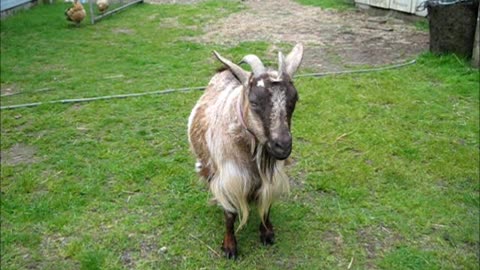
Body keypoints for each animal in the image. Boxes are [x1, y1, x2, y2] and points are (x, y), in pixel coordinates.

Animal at [188, 43, 304, 260]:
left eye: (294, 99)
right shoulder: (229, 179)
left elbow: (266, 204)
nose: (282, 146)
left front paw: (267, 233)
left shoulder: (271, 177)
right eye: (254, 101)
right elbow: (230, 214)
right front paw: (229, 247)